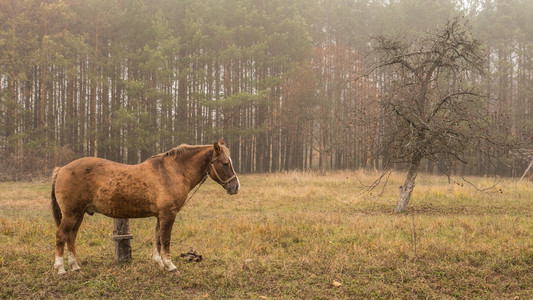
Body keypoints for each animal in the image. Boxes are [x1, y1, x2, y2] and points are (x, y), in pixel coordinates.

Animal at [50, 138, 239, 274]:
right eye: (225, 163)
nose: (235, 187)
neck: (173, 171)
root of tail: (62, 169)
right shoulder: (168, 215)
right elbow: (165, 239)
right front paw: (170, 265)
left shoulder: (160, 216)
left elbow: (157, 238)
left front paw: (159, 263)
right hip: (71, 214)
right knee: (61, 235)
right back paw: (61, 268)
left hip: (79, 214)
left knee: (71, 236)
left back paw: (75, 266)